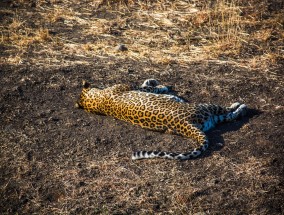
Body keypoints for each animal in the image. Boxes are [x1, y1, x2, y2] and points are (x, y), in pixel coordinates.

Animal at [75, 78, 246, 160]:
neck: (96, 102)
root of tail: (184, 123)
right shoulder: (132, 87)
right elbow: (149, 87)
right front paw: (159, 85)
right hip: (206, 107)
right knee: (228, 112)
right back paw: (241, 106)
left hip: (211, 119)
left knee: (227, 117)